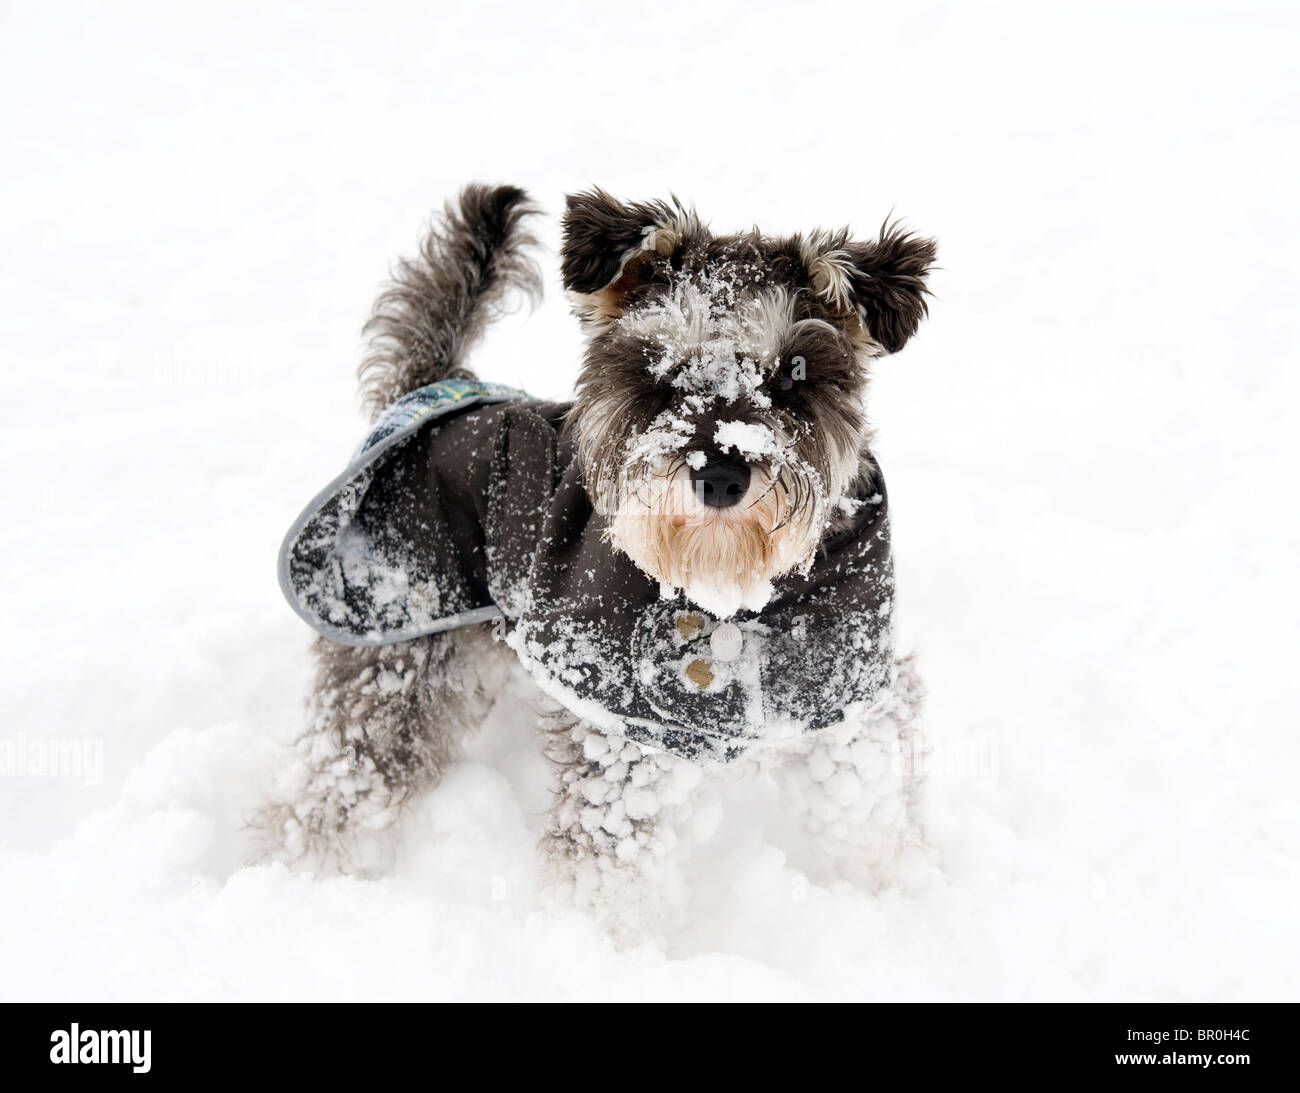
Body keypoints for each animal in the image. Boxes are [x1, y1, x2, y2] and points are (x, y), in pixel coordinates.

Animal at [258, 183, 941, 935]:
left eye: (793, 376)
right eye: (659, 373)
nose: (720, 475)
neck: (737, 594)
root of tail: (430, 387)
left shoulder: (847, 697)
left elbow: (867, 815)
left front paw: (895, 898)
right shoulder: (622, 733)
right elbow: (610, 873)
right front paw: (613, 945)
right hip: (397, 658)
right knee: (332, 791)